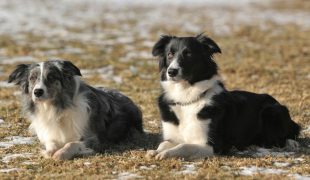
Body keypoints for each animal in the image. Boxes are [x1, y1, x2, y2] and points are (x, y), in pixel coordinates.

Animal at [7, 59, 142, 160]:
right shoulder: (49, 135)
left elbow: (72, 143)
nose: (37, 92)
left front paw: (60, 154)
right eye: (32, 78)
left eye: (51, 77)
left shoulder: (93, 139)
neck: (56, 108)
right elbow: (51, 144)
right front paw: (49, 152)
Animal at [147, 34, 302, 160]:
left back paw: (290, 143)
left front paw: (166, 154)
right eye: (169, 54)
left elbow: (184, 146)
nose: (171, 71)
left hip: (271, 111)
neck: (186, 97)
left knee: (287, 134)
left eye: (188, 54)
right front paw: (156, 151)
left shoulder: (212, 145)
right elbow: (164, 143)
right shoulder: (173, 136)